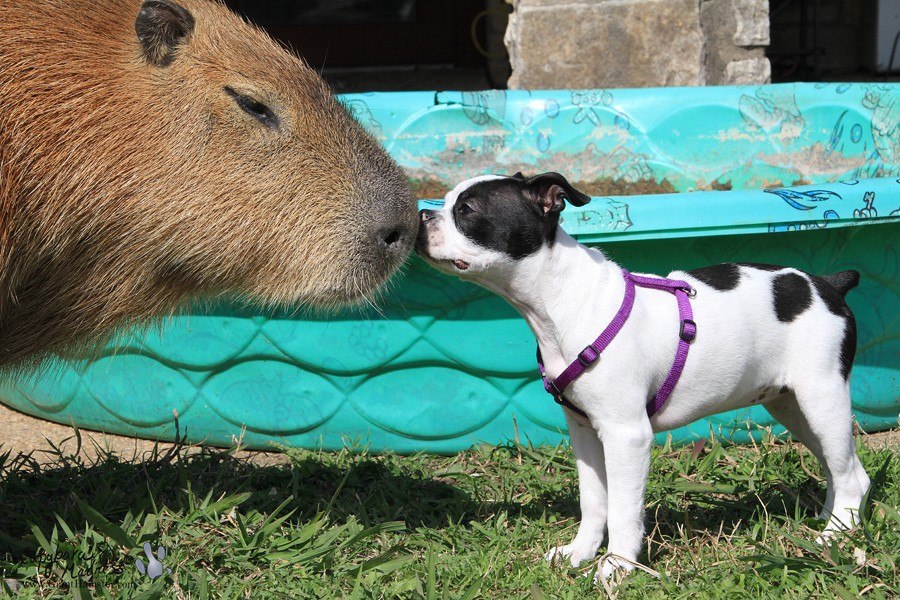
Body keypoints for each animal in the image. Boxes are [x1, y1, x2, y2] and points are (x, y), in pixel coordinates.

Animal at [416, 171, 872, 580]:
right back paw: (831, 524)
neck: (563, 301)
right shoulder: (584, 432)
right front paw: (579, 554)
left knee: (850, 475)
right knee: (846, 470)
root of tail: (828, 285)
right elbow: (593, 501)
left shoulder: (627, 435)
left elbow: (622, 509)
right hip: (790, 405)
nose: (421, 216)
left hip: (821, 398)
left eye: (466, 210)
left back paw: (832, 539)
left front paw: (617, 567)